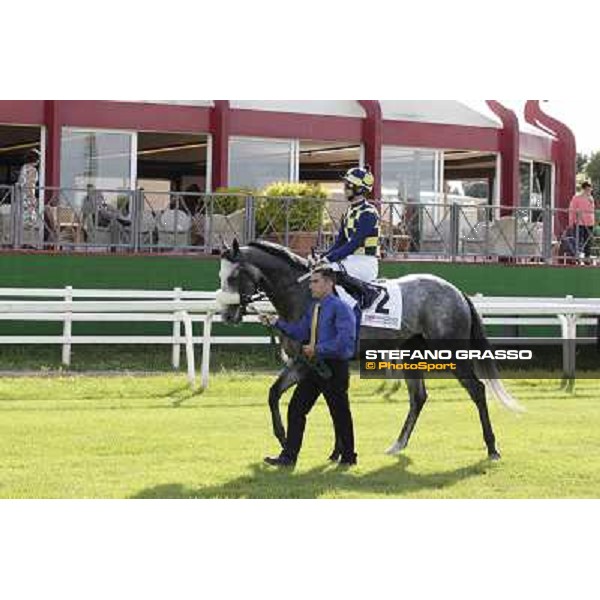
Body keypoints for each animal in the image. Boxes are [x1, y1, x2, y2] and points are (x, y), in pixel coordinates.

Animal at [217, 239, 520, 460]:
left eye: (233, 276)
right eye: (220, 276)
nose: (227, 315)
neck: (305, 296)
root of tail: (456, 291)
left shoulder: (309, 362)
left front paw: (329, 450)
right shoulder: (304, 362)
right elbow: (275, 394)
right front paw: (289, 439)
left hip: (451, 354)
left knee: (477, 389)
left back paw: (492, 448)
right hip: (410, 354)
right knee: (418, 397)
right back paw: (398, 445)